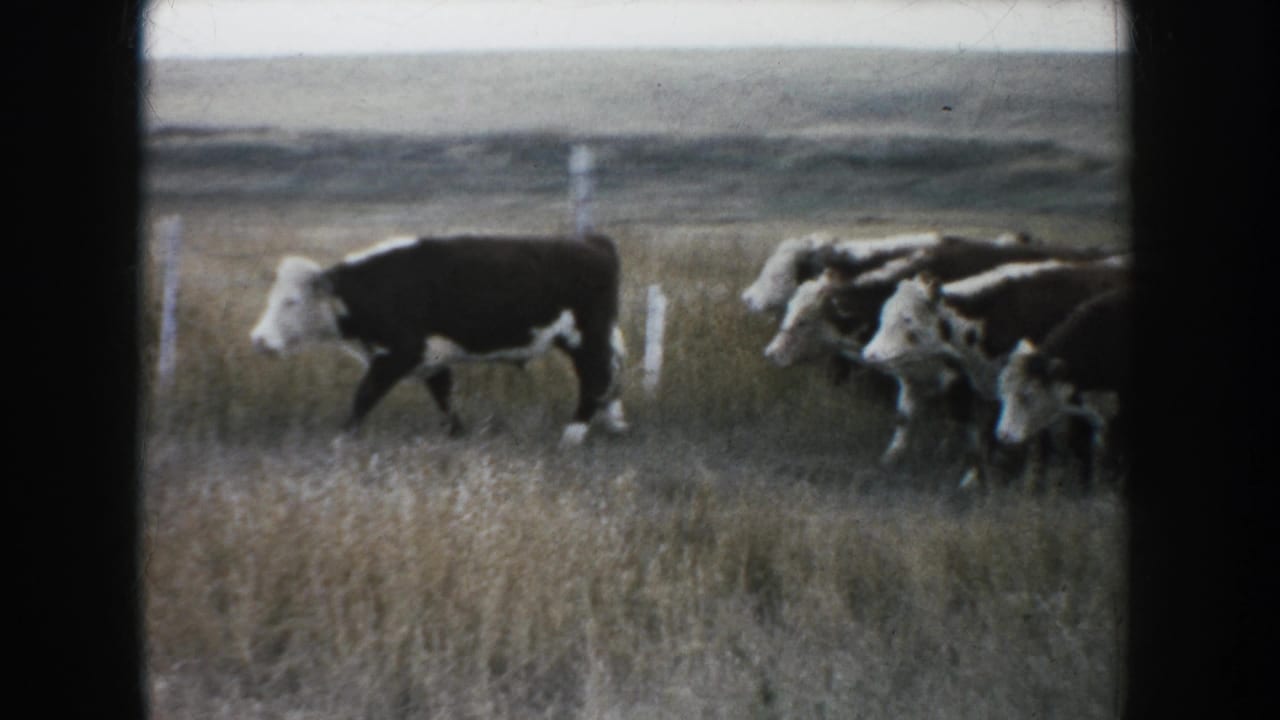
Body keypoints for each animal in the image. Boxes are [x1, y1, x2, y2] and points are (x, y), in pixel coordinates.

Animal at [249, 233, 629, 447]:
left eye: (291, 301)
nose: (259, 340)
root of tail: (594, 244)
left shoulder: (398, 354)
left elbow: (364, 396)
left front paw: (342, 440)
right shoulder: (431, 359)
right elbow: (445, 398)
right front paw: (457, 434)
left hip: (586, 338)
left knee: (595, 380)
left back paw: (573, 436)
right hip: (599, 337)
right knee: (612, 373)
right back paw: (614, 424)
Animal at [763, 236, 1119, 466]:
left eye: (804, 320)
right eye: (791, 311)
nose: (771, 353)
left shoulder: (957, 381)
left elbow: (968, 421)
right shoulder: (914, 378)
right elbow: (906, 416)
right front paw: (892, 457)